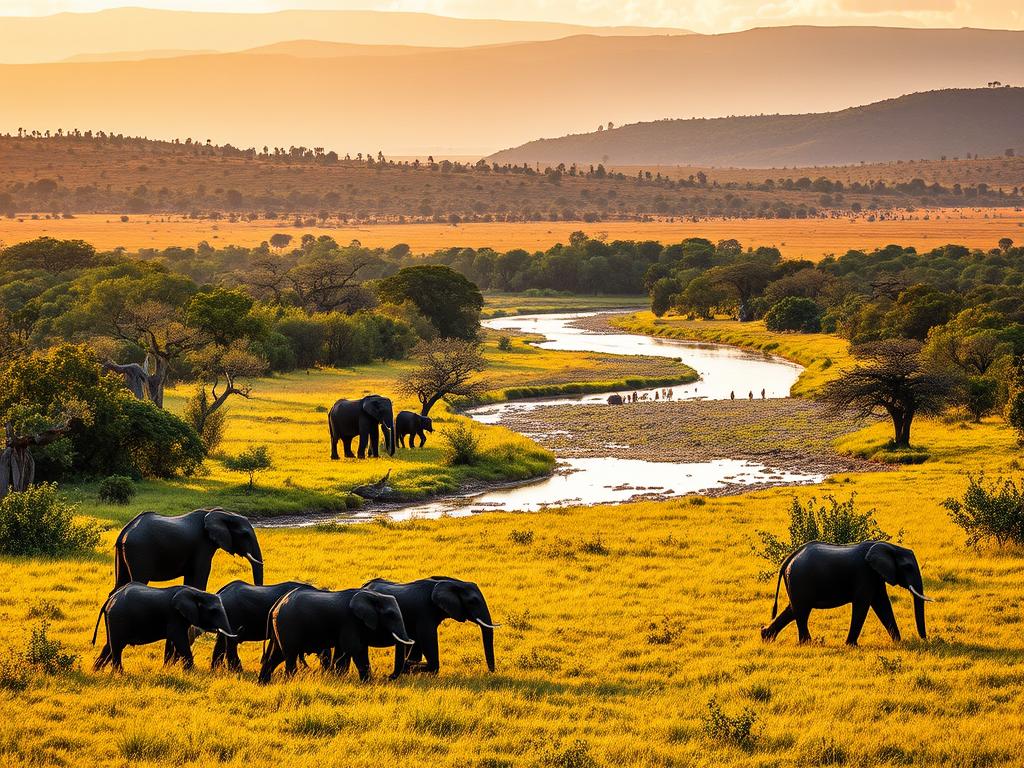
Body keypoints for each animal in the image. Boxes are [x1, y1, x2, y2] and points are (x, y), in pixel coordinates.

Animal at [92, 584, 235, 671]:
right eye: (213, 611)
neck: (195, 592)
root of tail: (111, 598)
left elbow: (174, 641)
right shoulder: (174, 616)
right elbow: (179, 640)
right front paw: (191, 672)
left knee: (109, 646)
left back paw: (97, 671)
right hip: (118, 618)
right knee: (117, 647)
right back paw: (119, 674)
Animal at [113, 508, 264, 592]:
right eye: (245, 534)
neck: (222, 513)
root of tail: (124, 531)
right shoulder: (202, 545)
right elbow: (200, 576)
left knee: (120, 584)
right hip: (139, 551)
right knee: (138, 581)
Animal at [258, 588, 413, 684]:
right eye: (391, 615)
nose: (388, 677)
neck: (373, 595)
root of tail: (277, 604)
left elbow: (347, 650)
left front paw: (339, 678)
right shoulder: (350, 621)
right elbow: (356, 649)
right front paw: (368, 683)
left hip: (281, 627)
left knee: (277, 655)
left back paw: (263, 683)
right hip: (288, 625)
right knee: (289, 654)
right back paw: (291, 680)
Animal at [363, 576, 497, 677]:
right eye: (472, 601)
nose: (491, 672)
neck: (454, 583)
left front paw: (408, 666)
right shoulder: (424, 611)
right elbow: (427, 638)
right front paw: (409, 667)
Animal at [761, 540, 934, 645]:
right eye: (908, 567)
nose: (924, 640)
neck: (889, 547)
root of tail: (788, 560)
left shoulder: (875, 576)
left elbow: (882, 604)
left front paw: (898, 642)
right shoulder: (865, 573)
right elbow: (863, 604)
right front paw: (851, 645)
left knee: (793, 609)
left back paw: (766, 637)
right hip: (800, 580)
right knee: (801, 611)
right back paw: (808, 643)